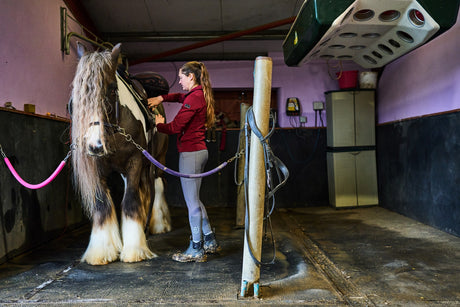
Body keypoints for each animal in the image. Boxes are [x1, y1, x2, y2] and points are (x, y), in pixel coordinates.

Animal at [71, 42, 172, 266]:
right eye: (76, 95)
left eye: (111, 89)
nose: (95, 145)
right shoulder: (98, 168)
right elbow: (102, 204)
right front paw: (102, 251)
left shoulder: (134, 163)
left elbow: (130, 201)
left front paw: (134, 249)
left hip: (156, 161)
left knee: (158, 186)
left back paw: (158, 224)